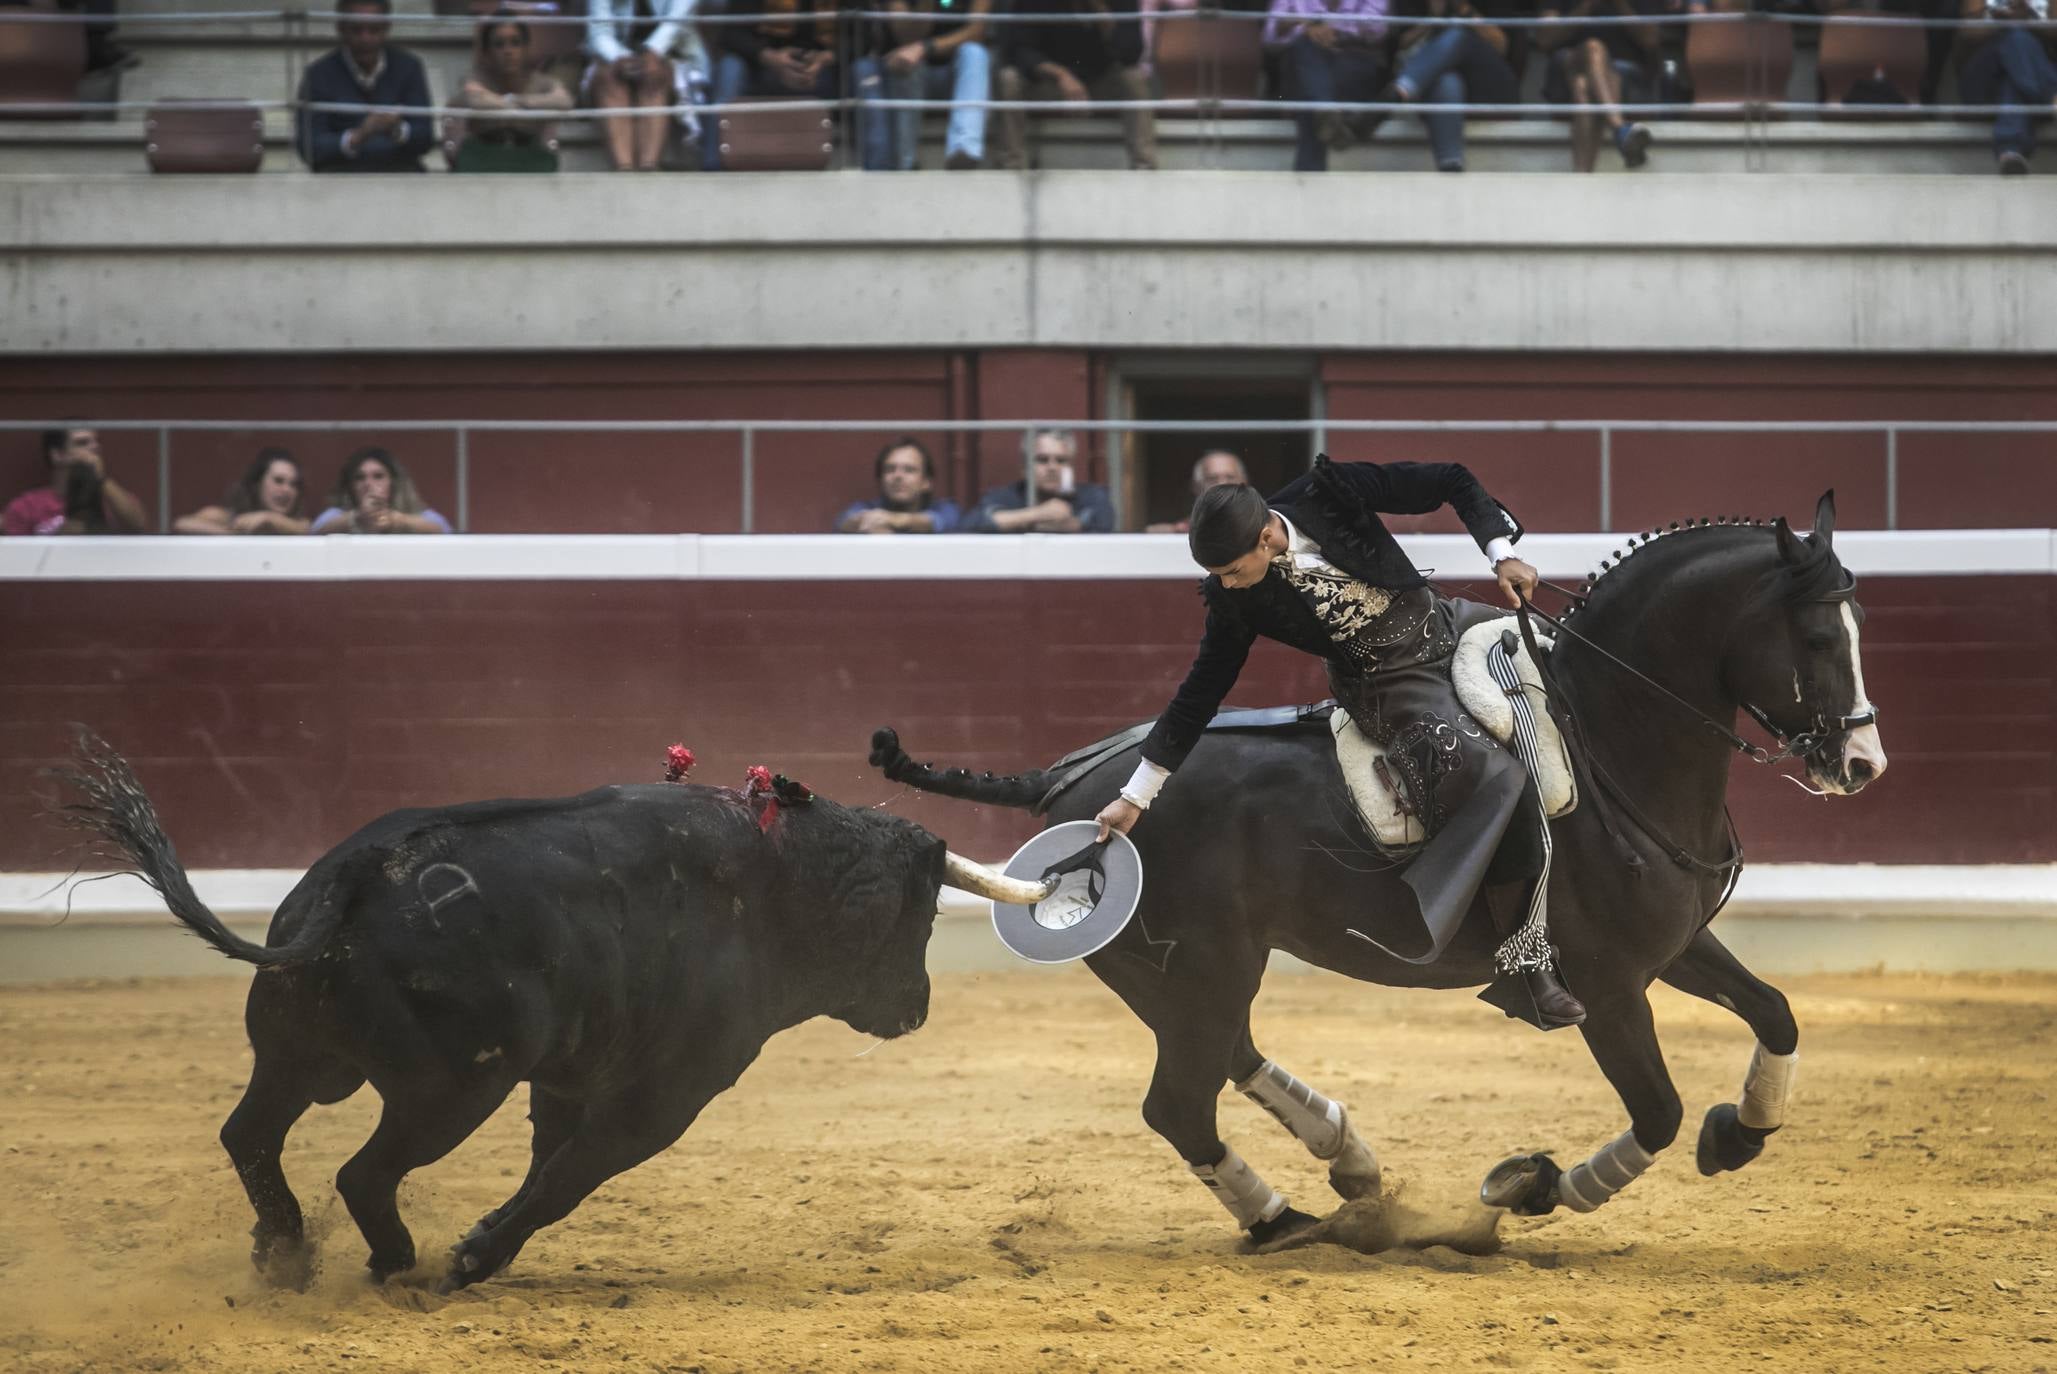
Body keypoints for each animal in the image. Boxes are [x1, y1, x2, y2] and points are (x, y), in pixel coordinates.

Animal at [48, 740, 962, 1291]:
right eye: (922, 918)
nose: (918, 1009)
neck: (785, 879)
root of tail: (358, 872)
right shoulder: (665, 1097)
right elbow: (567, 1176)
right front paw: (473, 1256)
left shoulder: (568, 1077)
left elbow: (547, 1163)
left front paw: (485, 1243)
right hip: (448, 1091)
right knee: (362, 1172)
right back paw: (395, 1262)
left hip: (298, 1056)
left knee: (250, 1135)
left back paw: (285, 1255)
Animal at [868, 495, 1884, 1242]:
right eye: (1816, 639)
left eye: (1857, 626)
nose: (1860, 764)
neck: (1607, 742)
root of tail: (1074, 787)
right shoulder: (1606, 985)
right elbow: (1659, 1110)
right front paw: (1529, 1186)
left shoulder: (1672, 947)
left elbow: (1776, 1015)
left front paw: (1738, 1134)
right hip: (1199, 970)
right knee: (1180, 1104)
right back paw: (1286, 1220)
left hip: (1180, 979)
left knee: (1227, 1060)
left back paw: (1347, 1158)